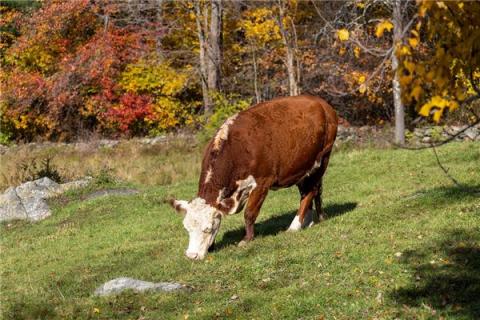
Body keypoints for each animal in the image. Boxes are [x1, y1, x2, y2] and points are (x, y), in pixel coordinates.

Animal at [171, 94, 340, 260]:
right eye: (187, 228)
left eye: (208, 228)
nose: (191, 256)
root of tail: (321, 102)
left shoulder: (262, 182)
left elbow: (249, 213)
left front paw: (247, 239)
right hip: (302, 166)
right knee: (310, 191)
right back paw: (311, 220)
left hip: (323, 158)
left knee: (311, 191)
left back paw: (295, 226)